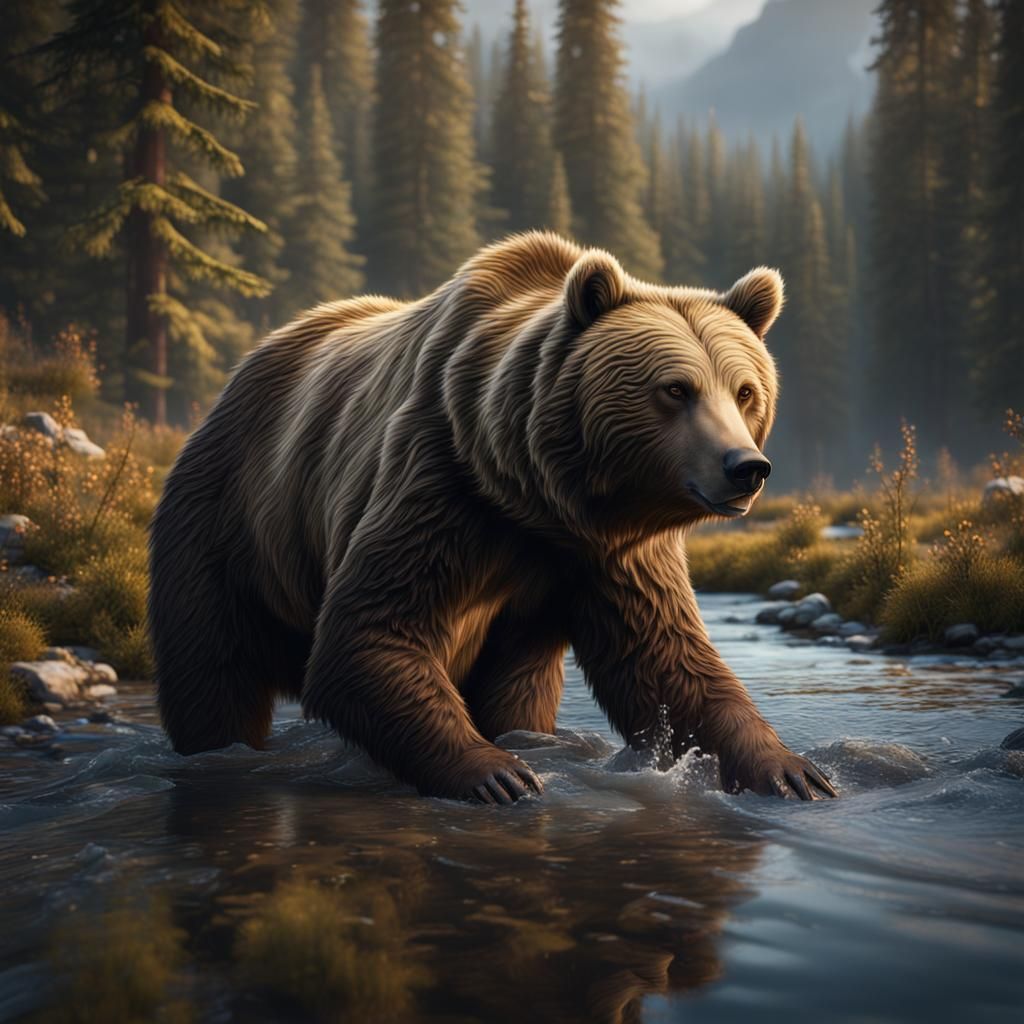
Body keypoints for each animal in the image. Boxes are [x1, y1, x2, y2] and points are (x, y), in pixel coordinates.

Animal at [149, 231, 836, 804]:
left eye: (744, 390)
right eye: (675, 388)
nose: (746, 467)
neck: (535, 495)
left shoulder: (605, 551)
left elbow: (666, 659)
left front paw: (793, 770)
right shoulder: (440, 485)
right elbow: (370, 632)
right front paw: (499, 774)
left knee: (519, 689)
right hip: (230, 522)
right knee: (214, 669)